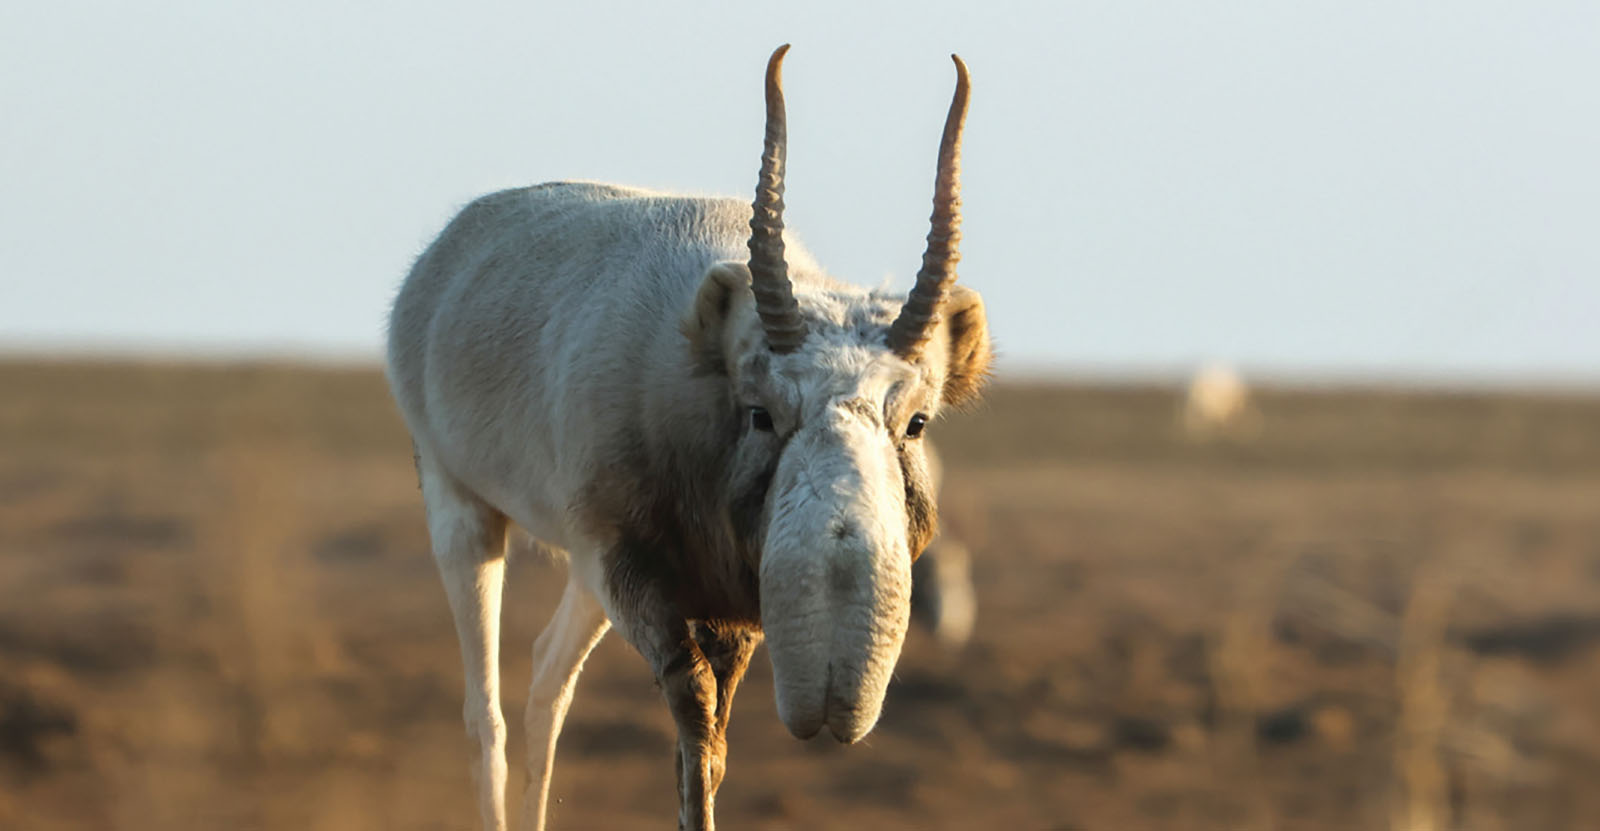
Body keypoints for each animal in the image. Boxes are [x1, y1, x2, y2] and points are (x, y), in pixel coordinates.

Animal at [385, 45, 991, 831]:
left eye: (916, 421)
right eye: (761, 412)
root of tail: (443, 256)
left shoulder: (730, 604)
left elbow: (714, 743)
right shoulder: (636, 576)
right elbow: (694, 714)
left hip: (584, 571)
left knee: (547, 679)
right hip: (464, 511)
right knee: (483, 713)